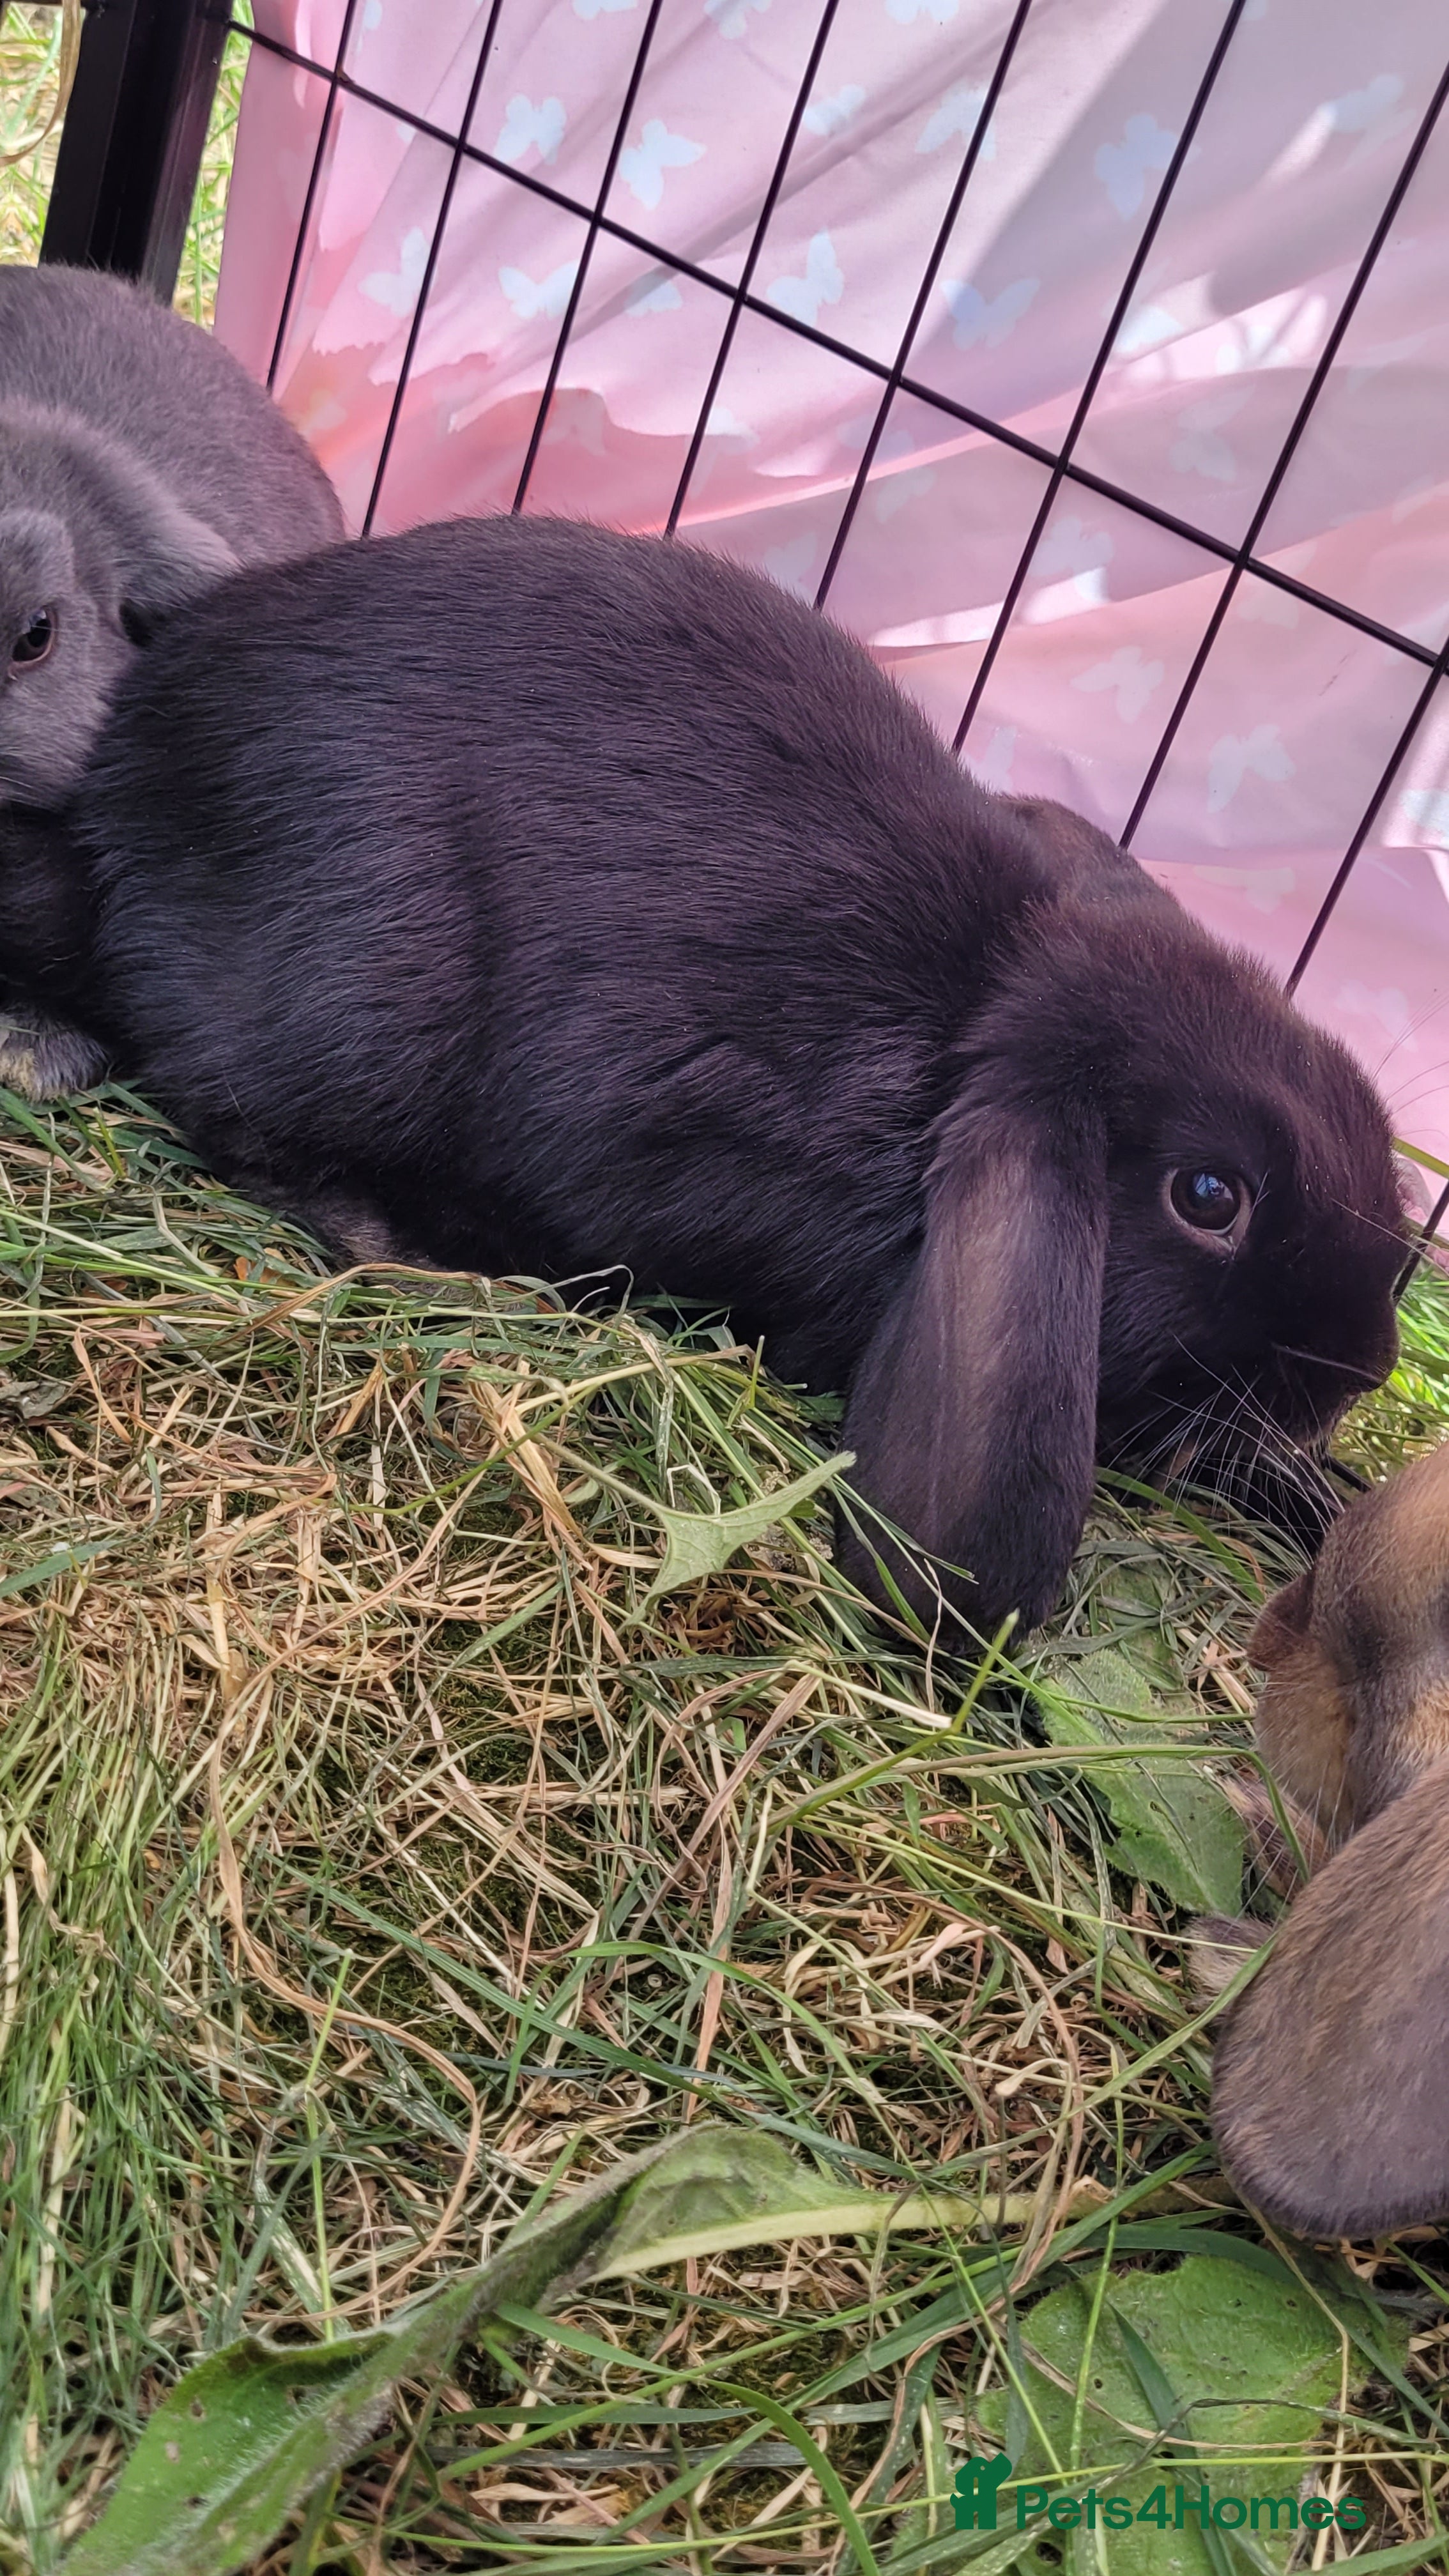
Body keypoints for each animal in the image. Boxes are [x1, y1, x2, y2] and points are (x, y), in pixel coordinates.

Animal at [32, 514, 1408, 1638]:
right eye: (1209, 1197)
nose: (1364, 1368)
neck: (964, 1036)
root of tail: (123, 777)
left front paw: (1320, 1487)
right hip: (364, 1000)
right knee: (237, 1116)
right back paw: (432, 1260)